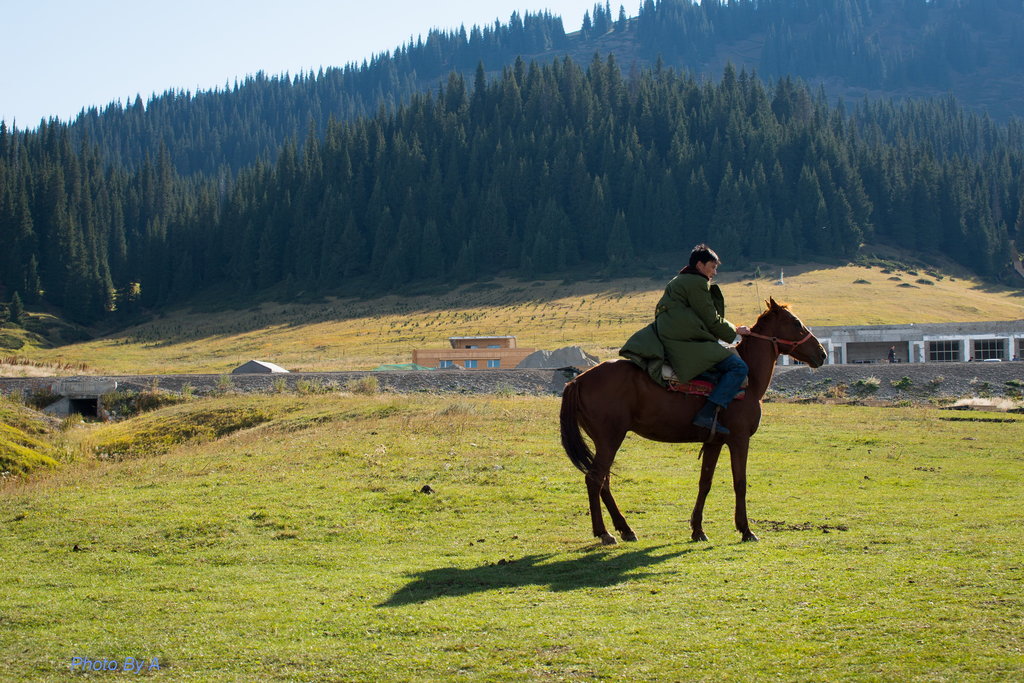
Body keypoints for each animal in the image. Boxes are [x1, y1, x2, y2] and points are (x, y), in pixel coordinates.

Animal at [560, 298, 827, 545]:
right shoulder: (739, 439)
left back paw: (625, 529)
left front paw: (698, 529)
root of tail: (578, 380)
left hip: (606, 441)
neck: (749, 379)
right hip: (610, 439)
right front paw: (746, 530)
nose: (822, 353)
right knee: (595, 479)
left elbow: (705, 482)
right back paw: (604, 533)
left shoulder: (714, 442)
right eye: (796, 322)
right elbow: (740, 482)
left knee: (603, 481)